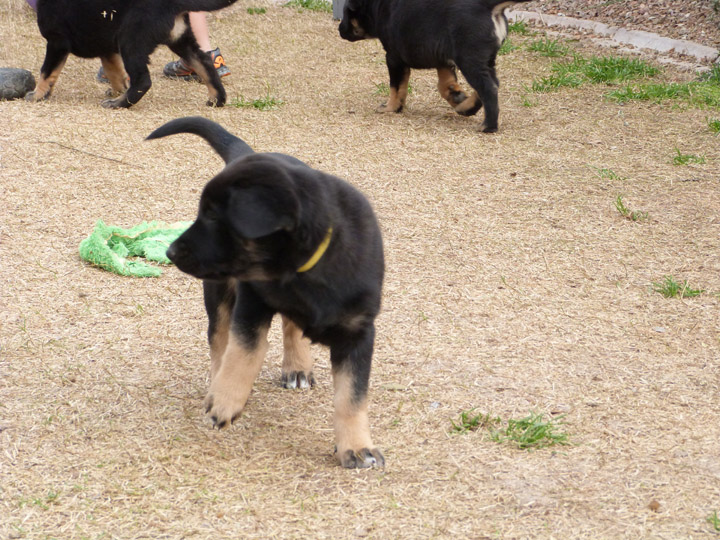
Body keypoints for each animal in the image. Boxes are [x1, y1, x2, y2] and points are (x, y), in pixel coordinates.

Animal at [26, 0, 236, 108]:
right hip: (180, 39)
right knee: (204, 63)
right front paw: (118, 89)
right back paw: (216, 99)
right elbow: (115, 72)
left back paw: (117, 104)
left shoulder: (57, 41)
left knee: (143, 81)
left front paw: (37, 95)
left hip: (130, 41)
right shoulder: (107, 49)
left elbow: (46, 72)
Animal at [143, 117, 386, 468]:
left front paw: (357, 447)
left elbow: (352, 396)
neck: (304, 268)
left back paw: (297, 366)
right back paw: (217, 383)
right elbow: (245, 351)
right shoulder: (252, 302)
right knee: (220, 339)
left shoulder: (359, 331)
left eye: (213, 215)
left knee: (290, 324)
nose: (170, 252)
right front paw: (225, 400)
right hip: (219, 291)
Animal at [340, 0, 532, 132]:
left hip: (469, 59)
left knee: (488, 88)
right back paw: (467, 107)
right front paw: (457, 97)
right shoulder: (443, 60)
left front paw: (391, 108)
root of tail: (486, 6)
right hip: (486, 60)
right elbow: (445, 85)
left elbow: (396, 88)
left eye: (346, 13)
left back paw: (488, 126)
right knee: (492, 84)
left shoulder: (394, 58)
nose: (339, 29)